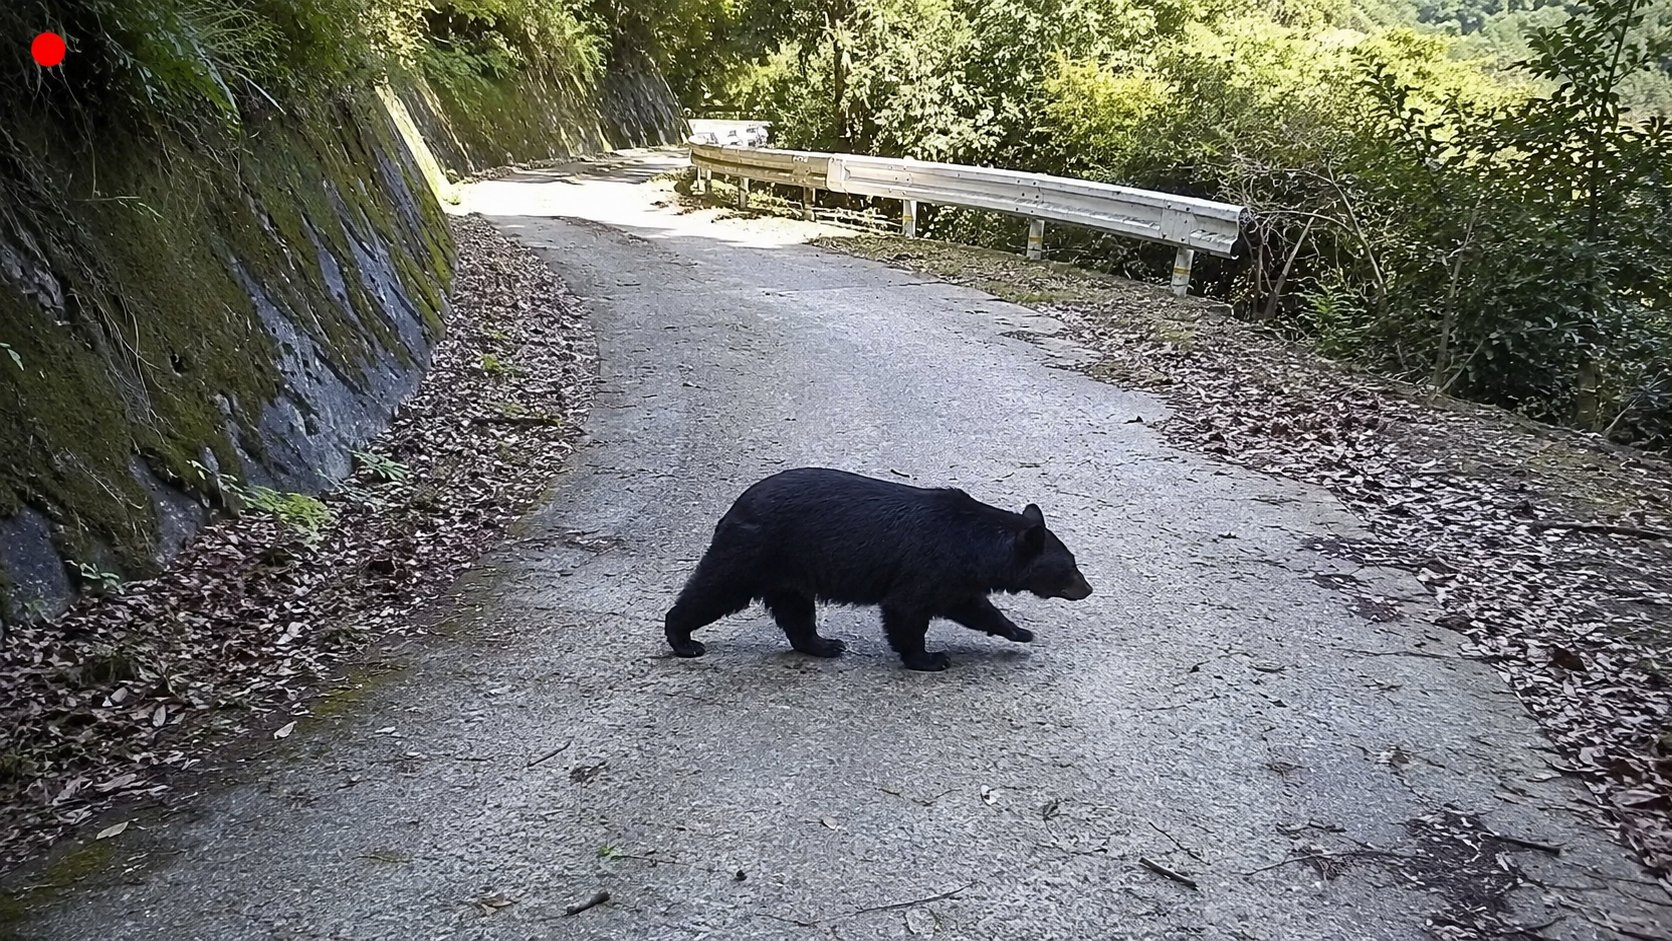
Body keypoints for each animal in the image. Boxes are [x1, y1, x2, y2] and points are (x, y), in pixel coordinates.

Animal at [663, 467, 1093, 671]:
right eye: (1071, 567)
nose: (1088, 589)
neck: (974, 543)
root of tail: (734, 508)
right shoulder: (930, 564)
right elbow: (906, 609)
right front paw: (929, 659)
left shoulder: (954, 577)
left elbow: (970, 606)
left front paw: (1019, 632)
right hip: (755, 550)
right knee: (715, 589)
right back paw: (683, 639)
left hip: (789, 568)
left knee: (796, 611)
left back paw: (824, 645)